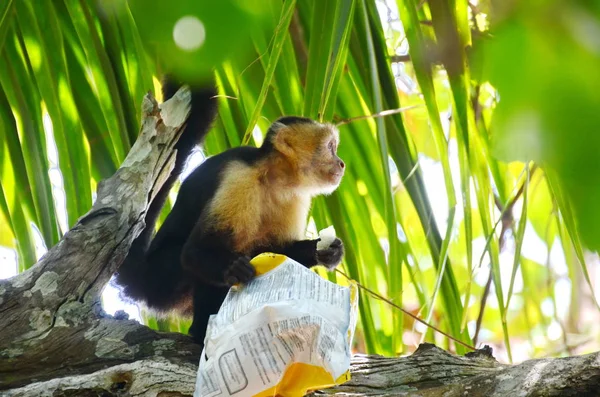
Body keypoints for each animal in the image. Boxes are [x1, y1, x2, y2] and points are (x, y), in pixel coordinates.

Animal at [114, 76, 344, 344]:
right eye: (331, 147)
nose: (341, 163)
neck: (275, 178)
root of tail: (144, 272)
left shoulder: (296, 198)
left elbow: (279, 253)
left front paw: (326, 251)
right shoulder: (239, 177)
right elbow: (195, 251)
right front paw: (232, 268)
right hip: (164, 277)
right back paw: (201, 331)